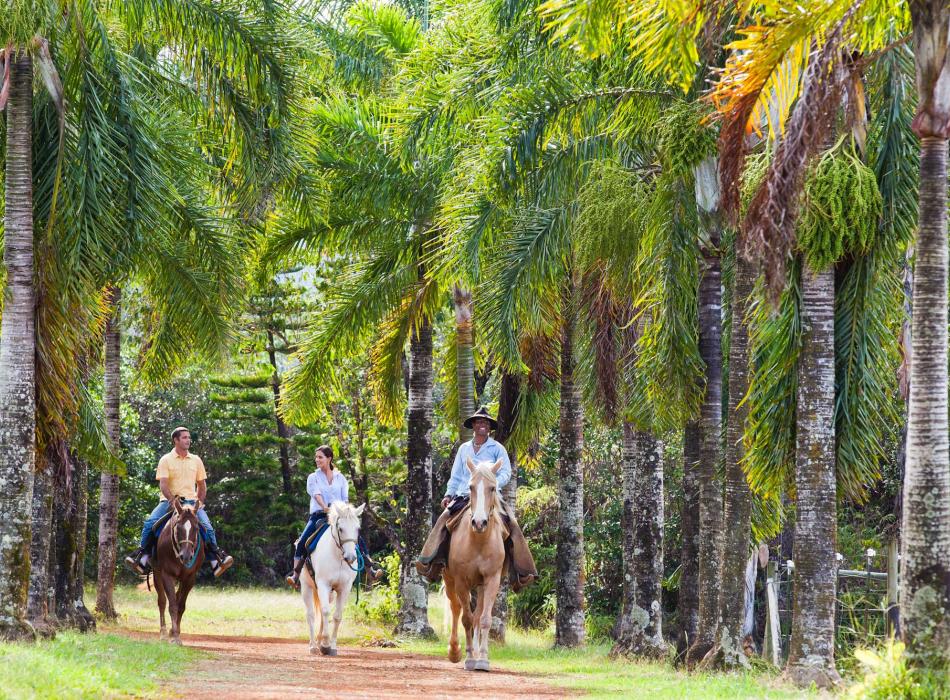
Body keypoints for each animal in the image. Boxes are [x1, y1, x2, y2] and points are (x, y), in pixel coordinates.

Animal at [153, 498, 205, 644]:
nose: (186, 556)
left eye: (196, 528)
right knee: (162, 601)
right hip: (156, 573)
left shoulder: (190, 578)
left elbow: (181, 605)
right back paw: (164, 632)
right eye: (178, 527)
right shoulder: (167, 575)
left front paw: (175, 633)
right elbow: (172, 605)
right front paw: (175, 636)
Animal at [304, 500, 366, 652]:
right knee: (311, 615)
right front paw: (325, 644)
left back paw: (318, 642)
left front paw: (331, 646)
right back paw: (313, 645)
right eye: (341, 529)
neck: (338, 557)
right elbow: (326, 612)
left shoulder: (344, 588)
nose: (350, 557)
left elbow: (337, 616)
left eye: (357, 528)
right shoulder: (323, 585)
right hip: (306, 587)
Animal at [444, 456, 510, 668]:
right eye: (471, 487)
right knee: (456, 609)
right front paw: (469, 657)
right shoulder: (461, 581)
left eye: (492, 488)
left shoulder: (492, 580)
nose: (479, 523)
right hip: (449, 580)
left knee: (478, 614)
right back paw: (455, 651)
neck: (478, 541)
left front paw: (482, 659)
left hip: (480, 585)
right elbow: (466, 618)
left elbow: (484, 619)